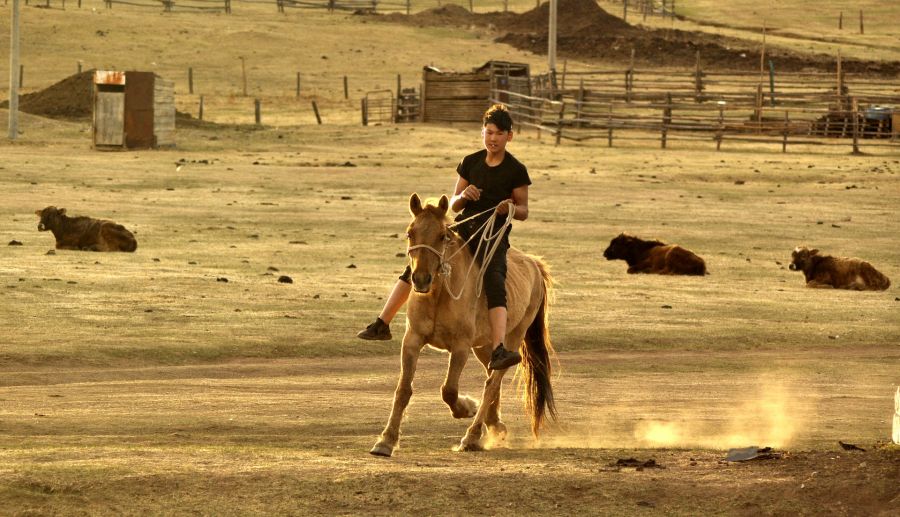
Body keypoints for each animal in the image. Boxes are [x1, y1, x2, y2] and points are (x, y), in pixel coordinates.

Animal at [368, 194, 552, 456]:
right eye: (410, 233)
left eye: (442, 236)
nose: (420, 279)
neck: (439, 294)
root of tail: (534, 264)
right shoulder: (412, 340)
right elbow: (403, 390)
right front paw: (386, 441)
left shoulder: (460, 347)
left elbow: (449, 390)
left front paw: (466, 408)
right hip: (486, 347)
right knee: (491, 378)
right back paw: (494, 425)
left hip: (512, 338)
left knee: (492, 383)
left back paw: (472, 436)